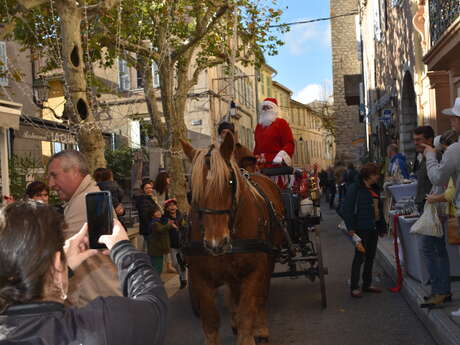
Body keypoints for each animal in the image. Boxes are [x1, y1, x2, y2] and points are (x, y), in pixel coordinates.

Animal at [181, 132, 284, 344]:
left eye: (229, 182)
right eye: (191, 192)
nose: (216, 243)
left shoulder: (254, 271)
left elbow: (248, 312)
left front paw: (251, 333)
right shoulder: (200, 277)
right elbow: (211, 321)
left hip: (268, 260)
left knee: (261, 295)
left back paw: (260, 328)